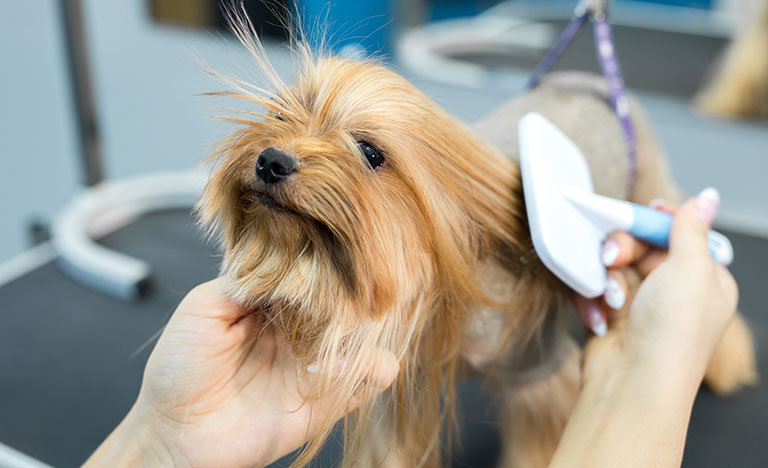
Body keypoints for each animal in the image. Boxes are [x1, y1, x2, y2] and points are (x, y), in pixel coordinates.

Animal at [196, 8, 756, 468]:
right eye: (280, 115)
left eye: (370, 152)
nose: (271, 161)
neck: (438, 290)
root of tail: (594, 82)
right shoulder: (394, 391)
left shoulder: (539, 376)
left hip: (651, 185)